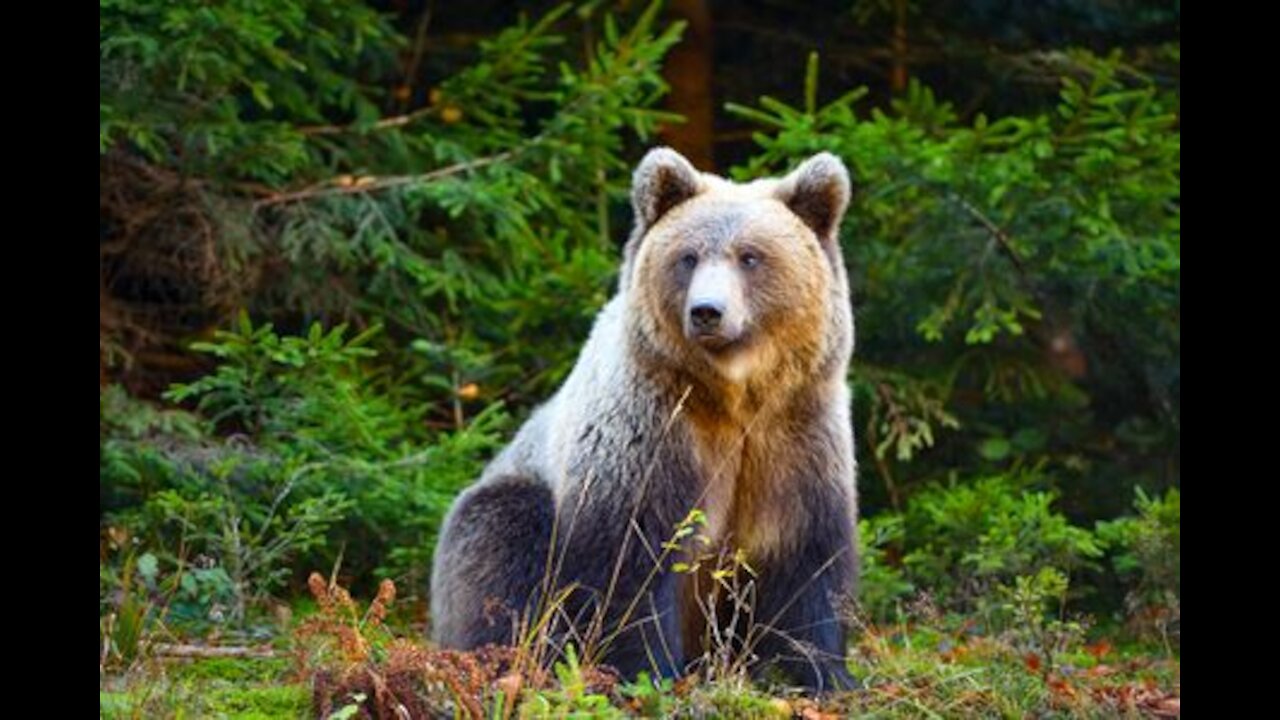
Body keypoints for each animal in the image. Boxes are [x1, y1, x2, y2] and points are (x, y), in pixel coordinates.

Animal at [430, 146, 860, 691]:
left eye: (750, 256)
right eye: (688, 257)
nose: (707, 311)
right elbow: (632, 557)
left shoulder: (795, 433)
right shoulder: (651, 430)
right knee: (503, 543)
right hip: (508, 500)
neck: (732, 397)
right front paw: (647, 671)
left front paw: (820, 673)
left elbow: (805, 561)